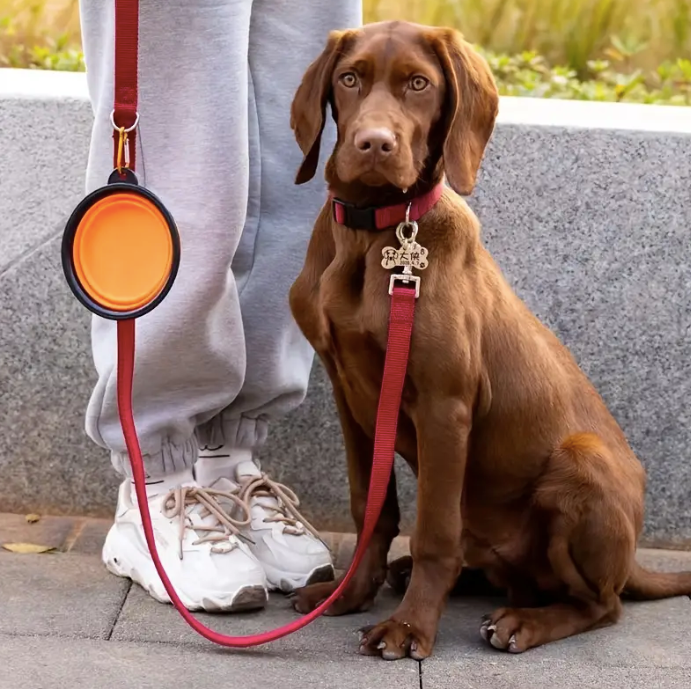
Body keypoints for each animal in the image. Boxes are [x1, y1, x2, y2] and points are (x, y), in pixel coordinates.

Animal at [286, 18, 691, 660]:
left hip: (582, 461)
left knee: (602, 606)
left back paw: (524, 621)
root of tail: (631, 563)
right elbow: (370, 507)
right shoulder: (350, 396)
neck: (375, 235)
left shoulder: (445, 405)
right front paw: (350, 594)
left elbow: (433, 531)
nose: (374, 144)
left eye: (419, 84)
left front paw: (410, 627)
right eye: (349, 79)